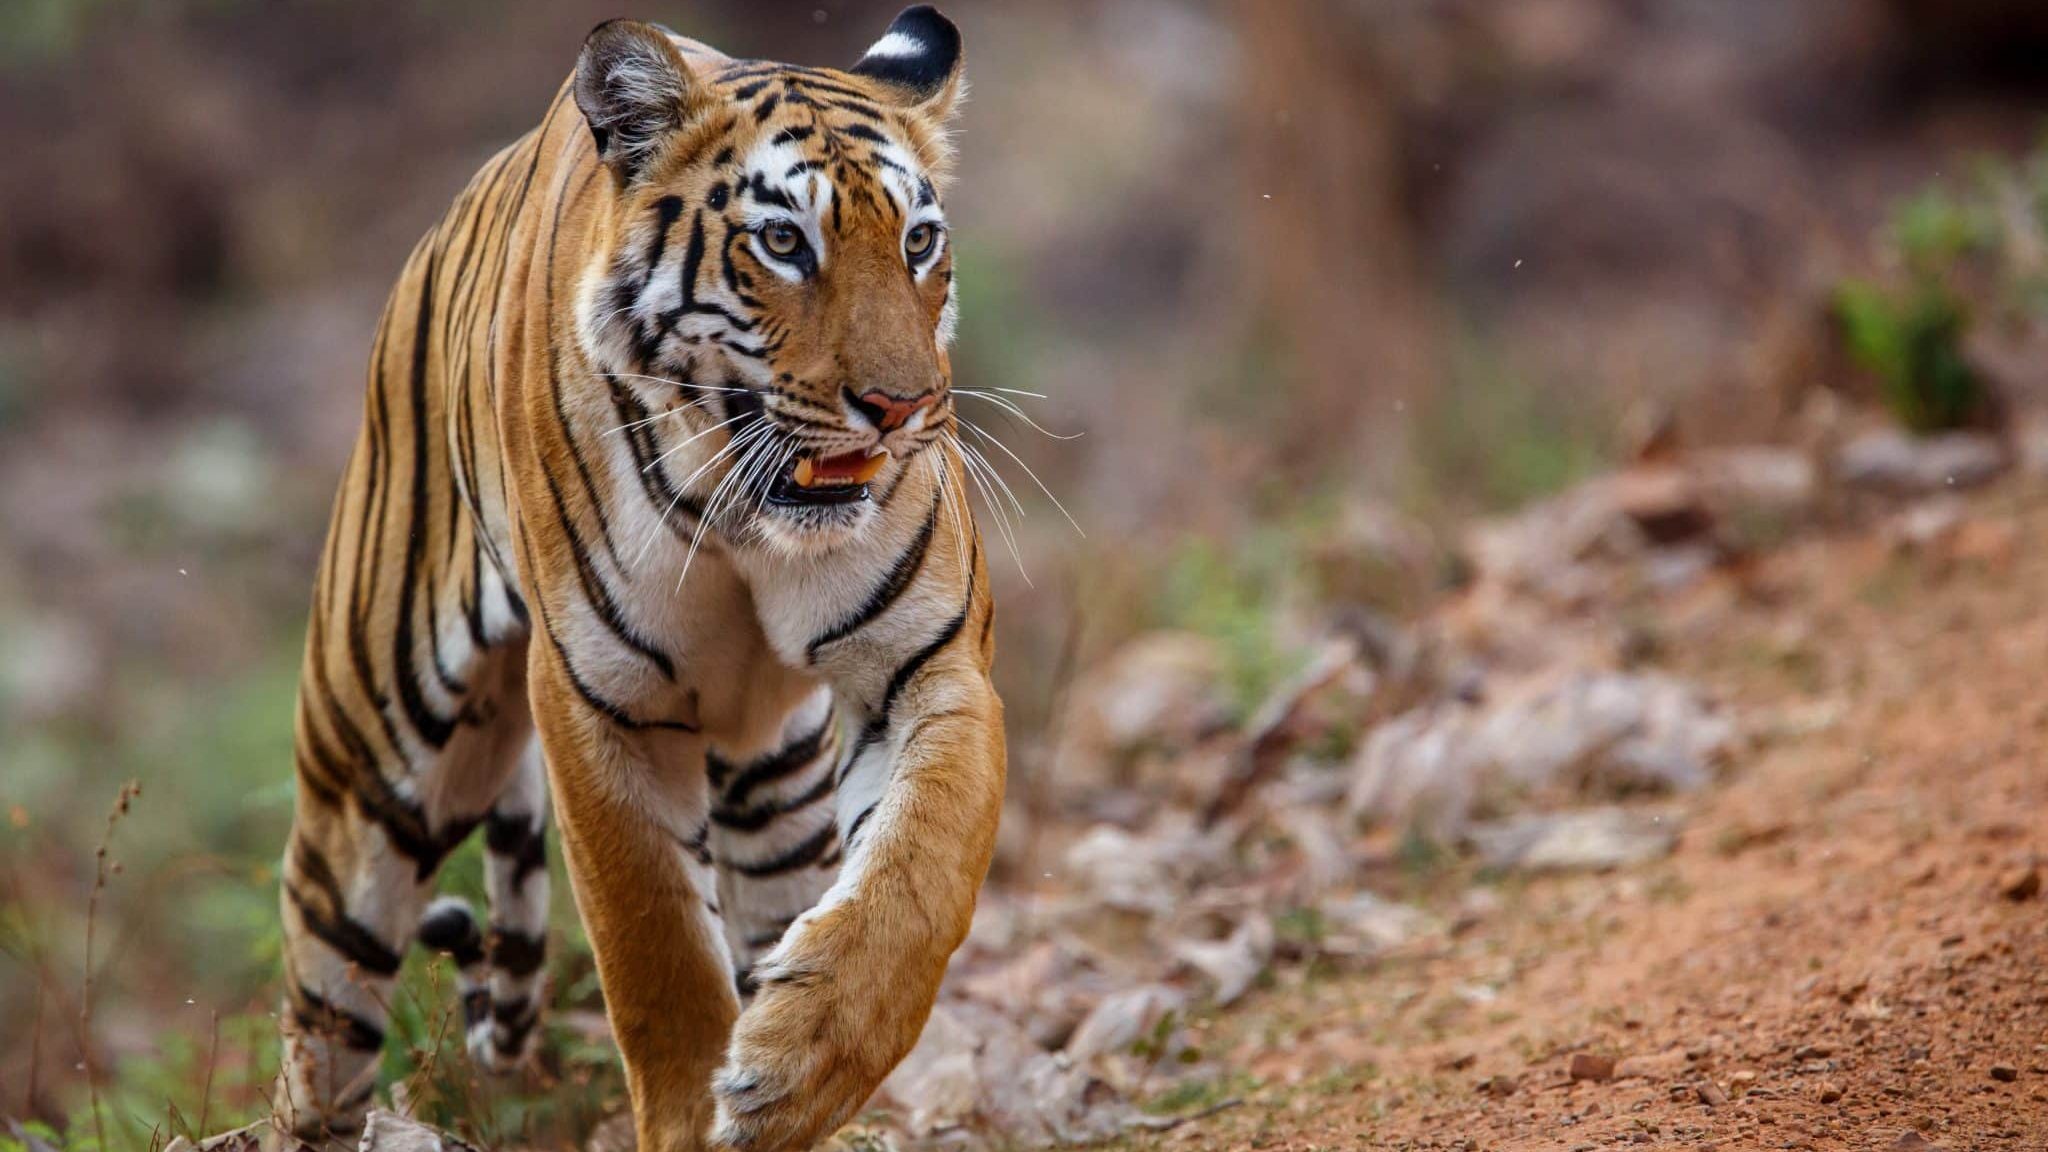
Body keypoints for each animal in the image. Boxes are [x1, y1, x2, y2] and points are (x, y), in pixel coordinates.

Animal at [272, 6, 1007, 1139]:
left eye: (917, 242)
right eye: (784, 243)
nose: (902, 408)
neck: (748, 522)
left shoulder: (928, 663)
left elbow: (920, 874)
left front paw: (792, 1071)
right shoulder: (598, 703)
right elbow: (656, 953)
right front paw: (696, 1115)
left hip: (774, 784)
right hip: (369, 761)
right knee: (322, 1022)